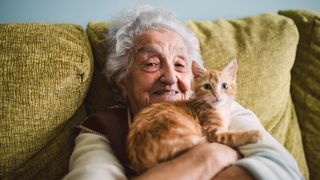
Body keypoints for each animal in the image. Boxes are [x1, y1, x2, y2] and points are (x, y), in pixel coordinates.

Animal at [126, 59, 264, 173]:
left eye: (224, 86)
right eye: (207, 86)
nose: (216, 95)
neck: (218, 109)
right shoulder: (213, 133)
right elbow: (231, 136)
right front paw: (254, 134)